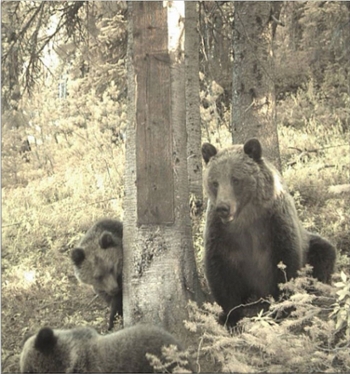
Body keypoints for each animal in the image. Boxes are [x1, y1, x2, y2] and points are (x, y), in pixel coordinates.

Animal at [202, 139, 336, 326]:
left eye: (236, 180)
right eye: (215, 182)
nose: (223, 207)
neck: (246, 217)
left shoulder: (273, 224)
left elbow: (285, 264)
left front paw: (283, 308)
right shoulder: (222, 234)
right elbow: (220, 271)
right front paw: (230, 317)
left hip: (311, 245)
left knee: (324, 252)